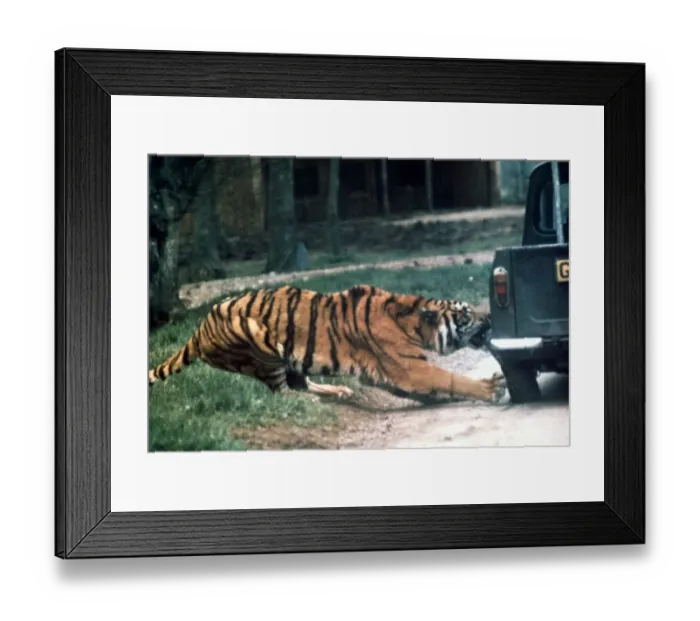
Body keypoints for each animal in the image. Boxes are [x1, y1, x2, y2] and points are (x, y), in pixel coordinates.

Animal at [148, 284, 505, 403]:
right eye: (467, 313)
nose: (491, 316)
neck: (412, 321)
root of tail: (198, 331)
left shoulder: (384, 373)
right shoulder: (409, 368)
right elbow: (451, 378)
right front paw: (489, 389)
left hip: (290, 357)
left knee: (301, 382)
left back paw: (339, 391)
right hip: (260, 345)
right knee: (284, 393)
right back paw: (313, 400)